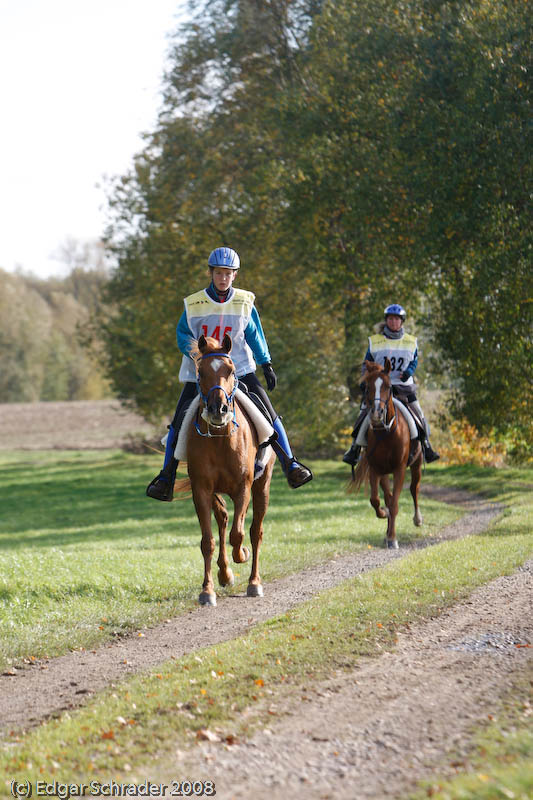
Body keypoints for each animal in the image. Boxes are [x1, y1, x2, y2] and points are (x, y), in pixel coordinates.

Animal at [174, 332, 274, 608]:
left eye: (230, 370)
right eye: (200, 372)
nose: (218, 409)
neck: (220, 438)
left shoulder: (244, 487)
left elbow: (239, 535)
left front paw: (241, 555)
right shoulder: (202, 489)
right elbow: (208, 540)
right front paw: (208, 589)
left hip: (262, 487)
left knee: (255, 531)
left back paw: (254, 581)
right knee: (222, 519)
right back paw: (224, 572)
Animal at [348, 360, 422, 548]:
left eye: (388, 386)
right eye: (367, 387)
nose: (376, 413)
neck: (386, 433)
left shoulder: (399, 469)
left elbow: (395, 503)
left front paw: (393, 538)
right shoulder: (376, 469)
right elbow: (376, 500)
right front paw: (383, 515)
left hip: (417, 464)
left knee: (414, 488)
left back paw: (417, 519)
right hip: (383, 473)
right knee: (387, 497)